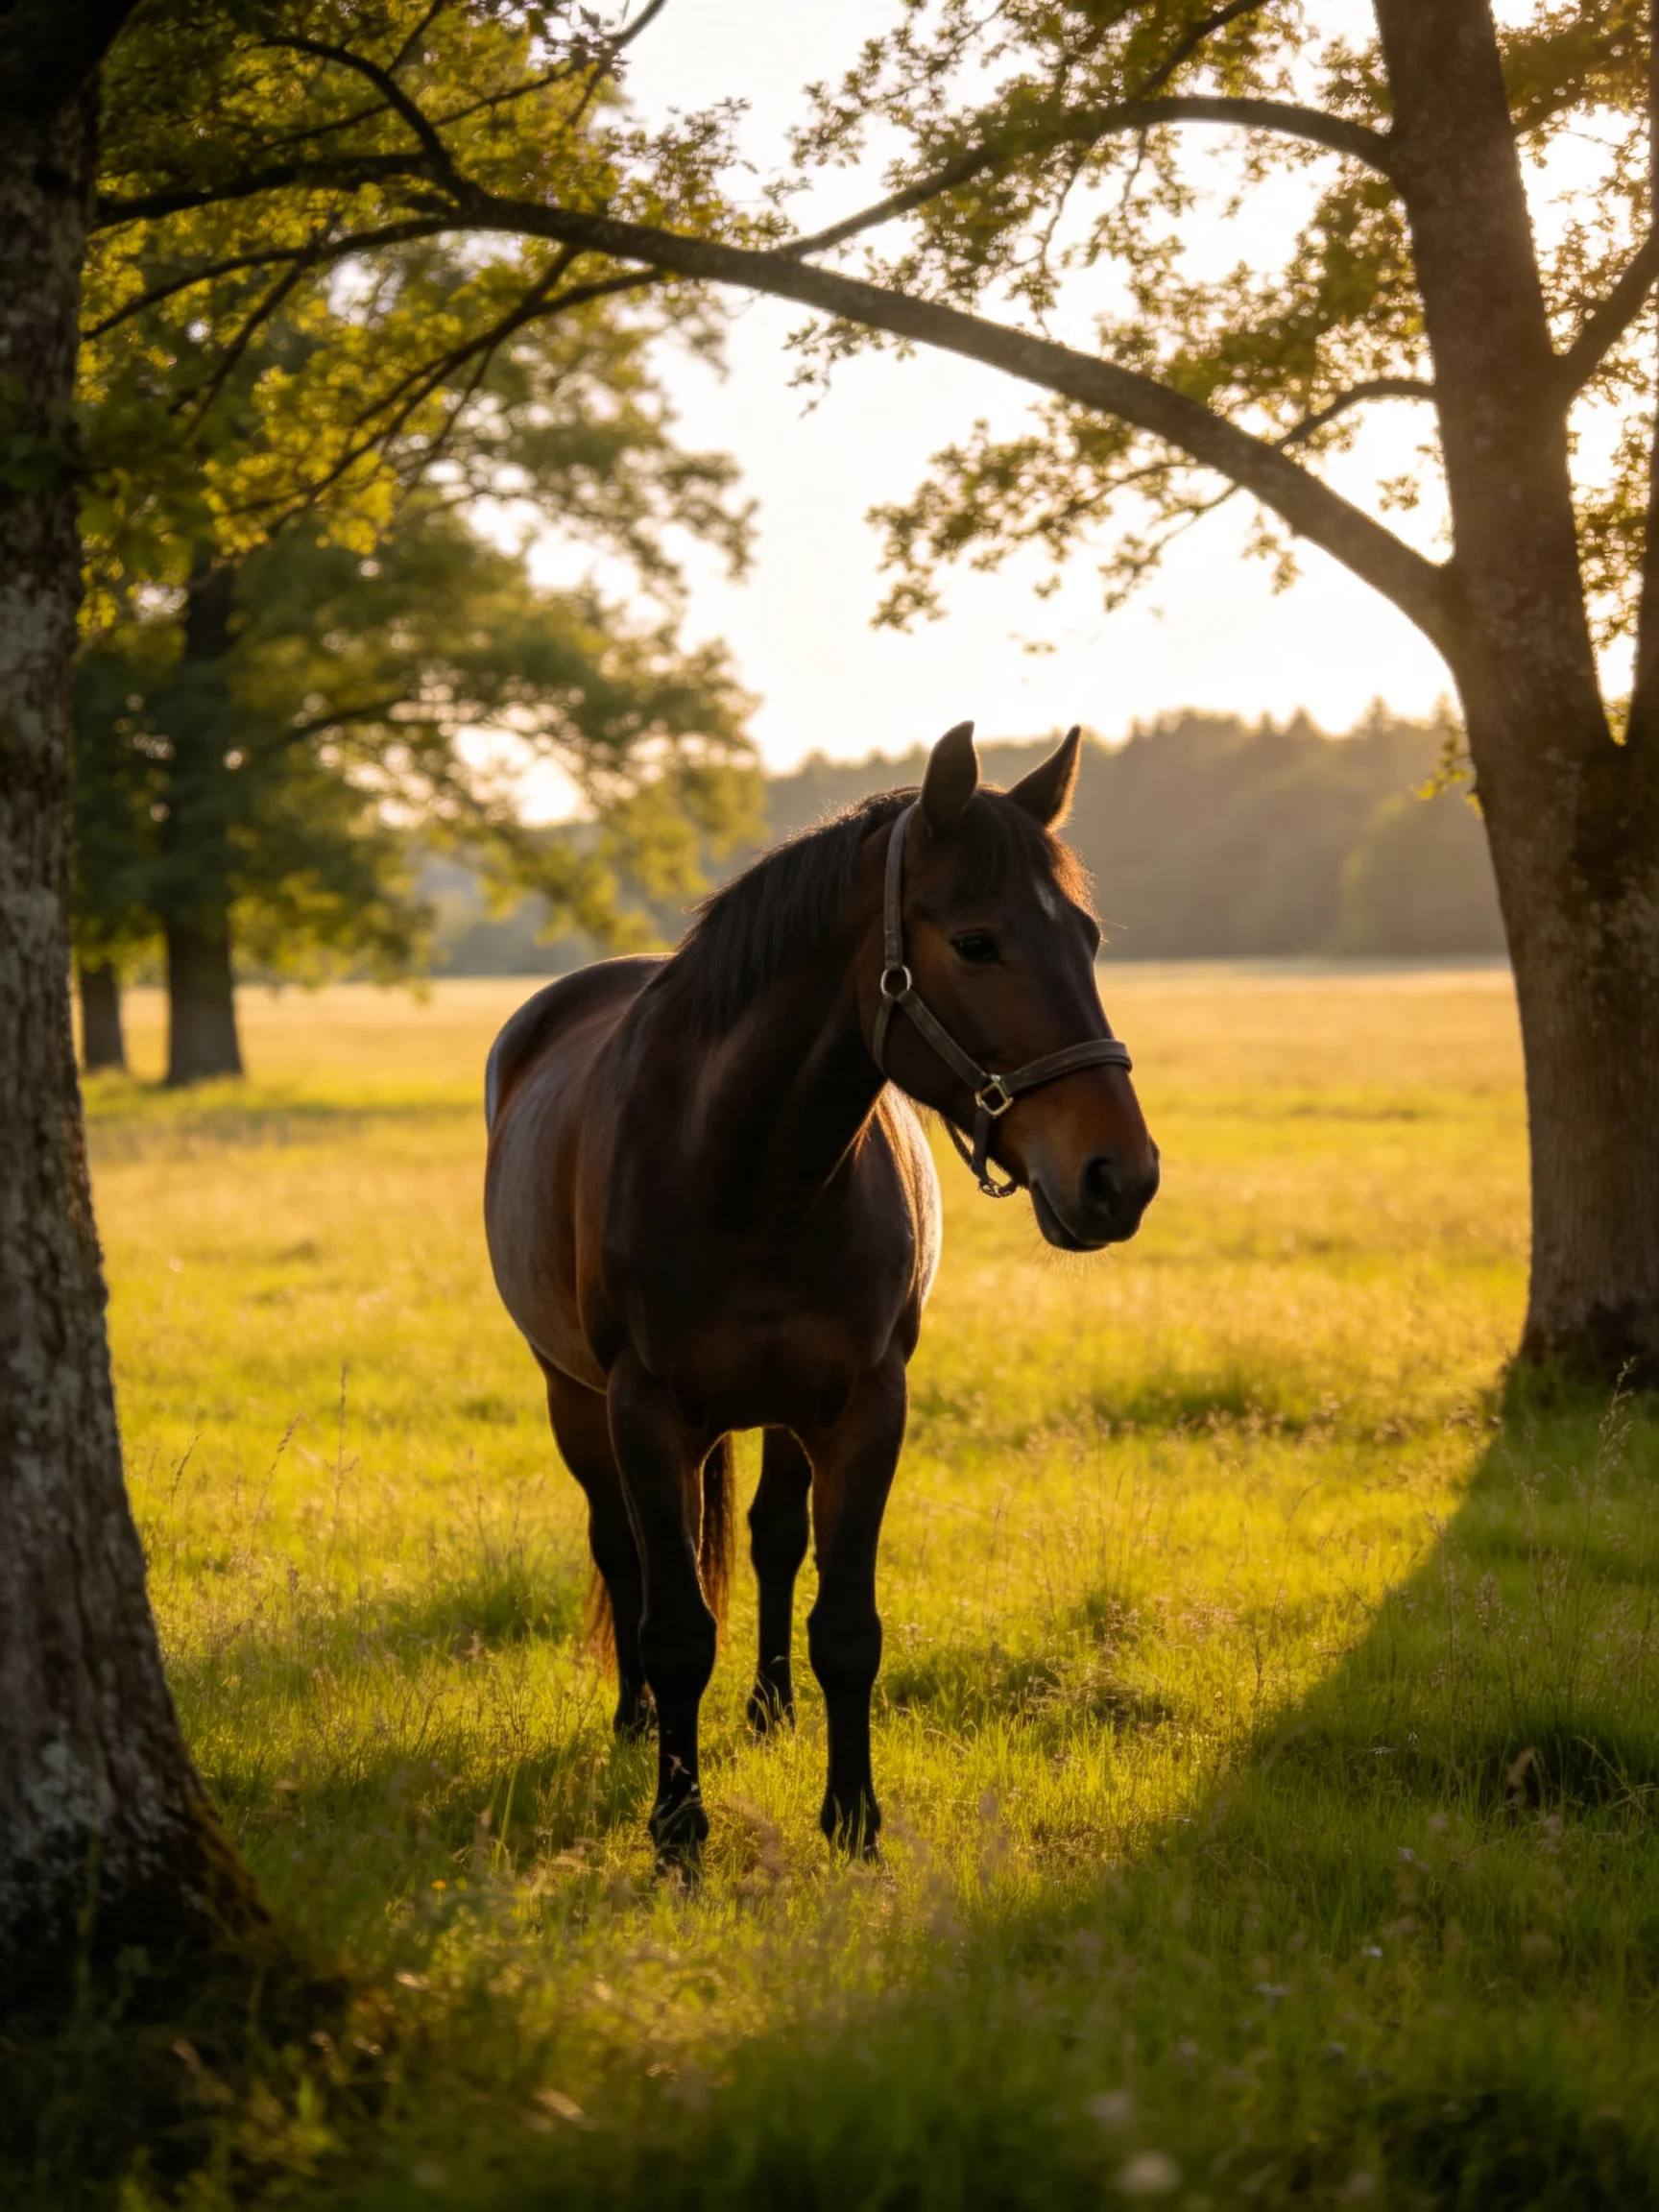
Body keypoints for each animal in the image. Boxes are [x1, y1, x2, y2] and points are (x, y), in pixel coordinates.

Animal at [483, 720, 1159, 1862]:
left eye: (1091, 939)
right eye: (976, 941)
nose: (1121, 1175)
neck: (747, 1169)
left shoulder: (863, 1406)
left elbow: (844, 1624)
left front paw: (852, 1821)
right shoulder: (642, 1411)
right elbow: (674, 1628)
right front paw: (678, 1830)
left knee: (768, 1538)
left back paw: (769, 1708)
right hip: (569, 1392)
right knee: (621, 1552)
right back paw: (633, 1725)